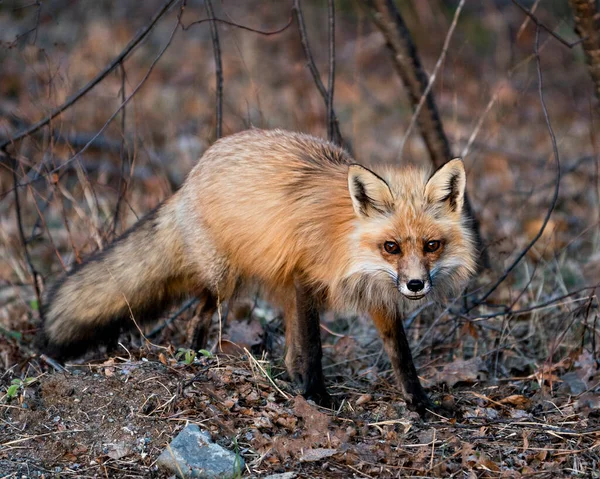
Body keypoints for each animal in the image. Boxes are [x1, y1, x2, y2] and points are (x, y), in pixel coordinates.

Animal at [39, 129, 476, 414]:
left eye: (432, 245)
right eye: (392, 247)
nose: (416, 285)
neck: (345, 240)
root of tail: (192, 174)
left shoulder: (378, 295)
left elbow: (401, 355)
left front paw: (420, 403)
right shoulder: (306, 278)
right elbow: (313, 347)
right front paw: (317, 397)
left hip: (273, 283)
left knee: (285, 350)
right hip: (224, 280)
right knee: (200, 316)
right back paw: (196, 359)